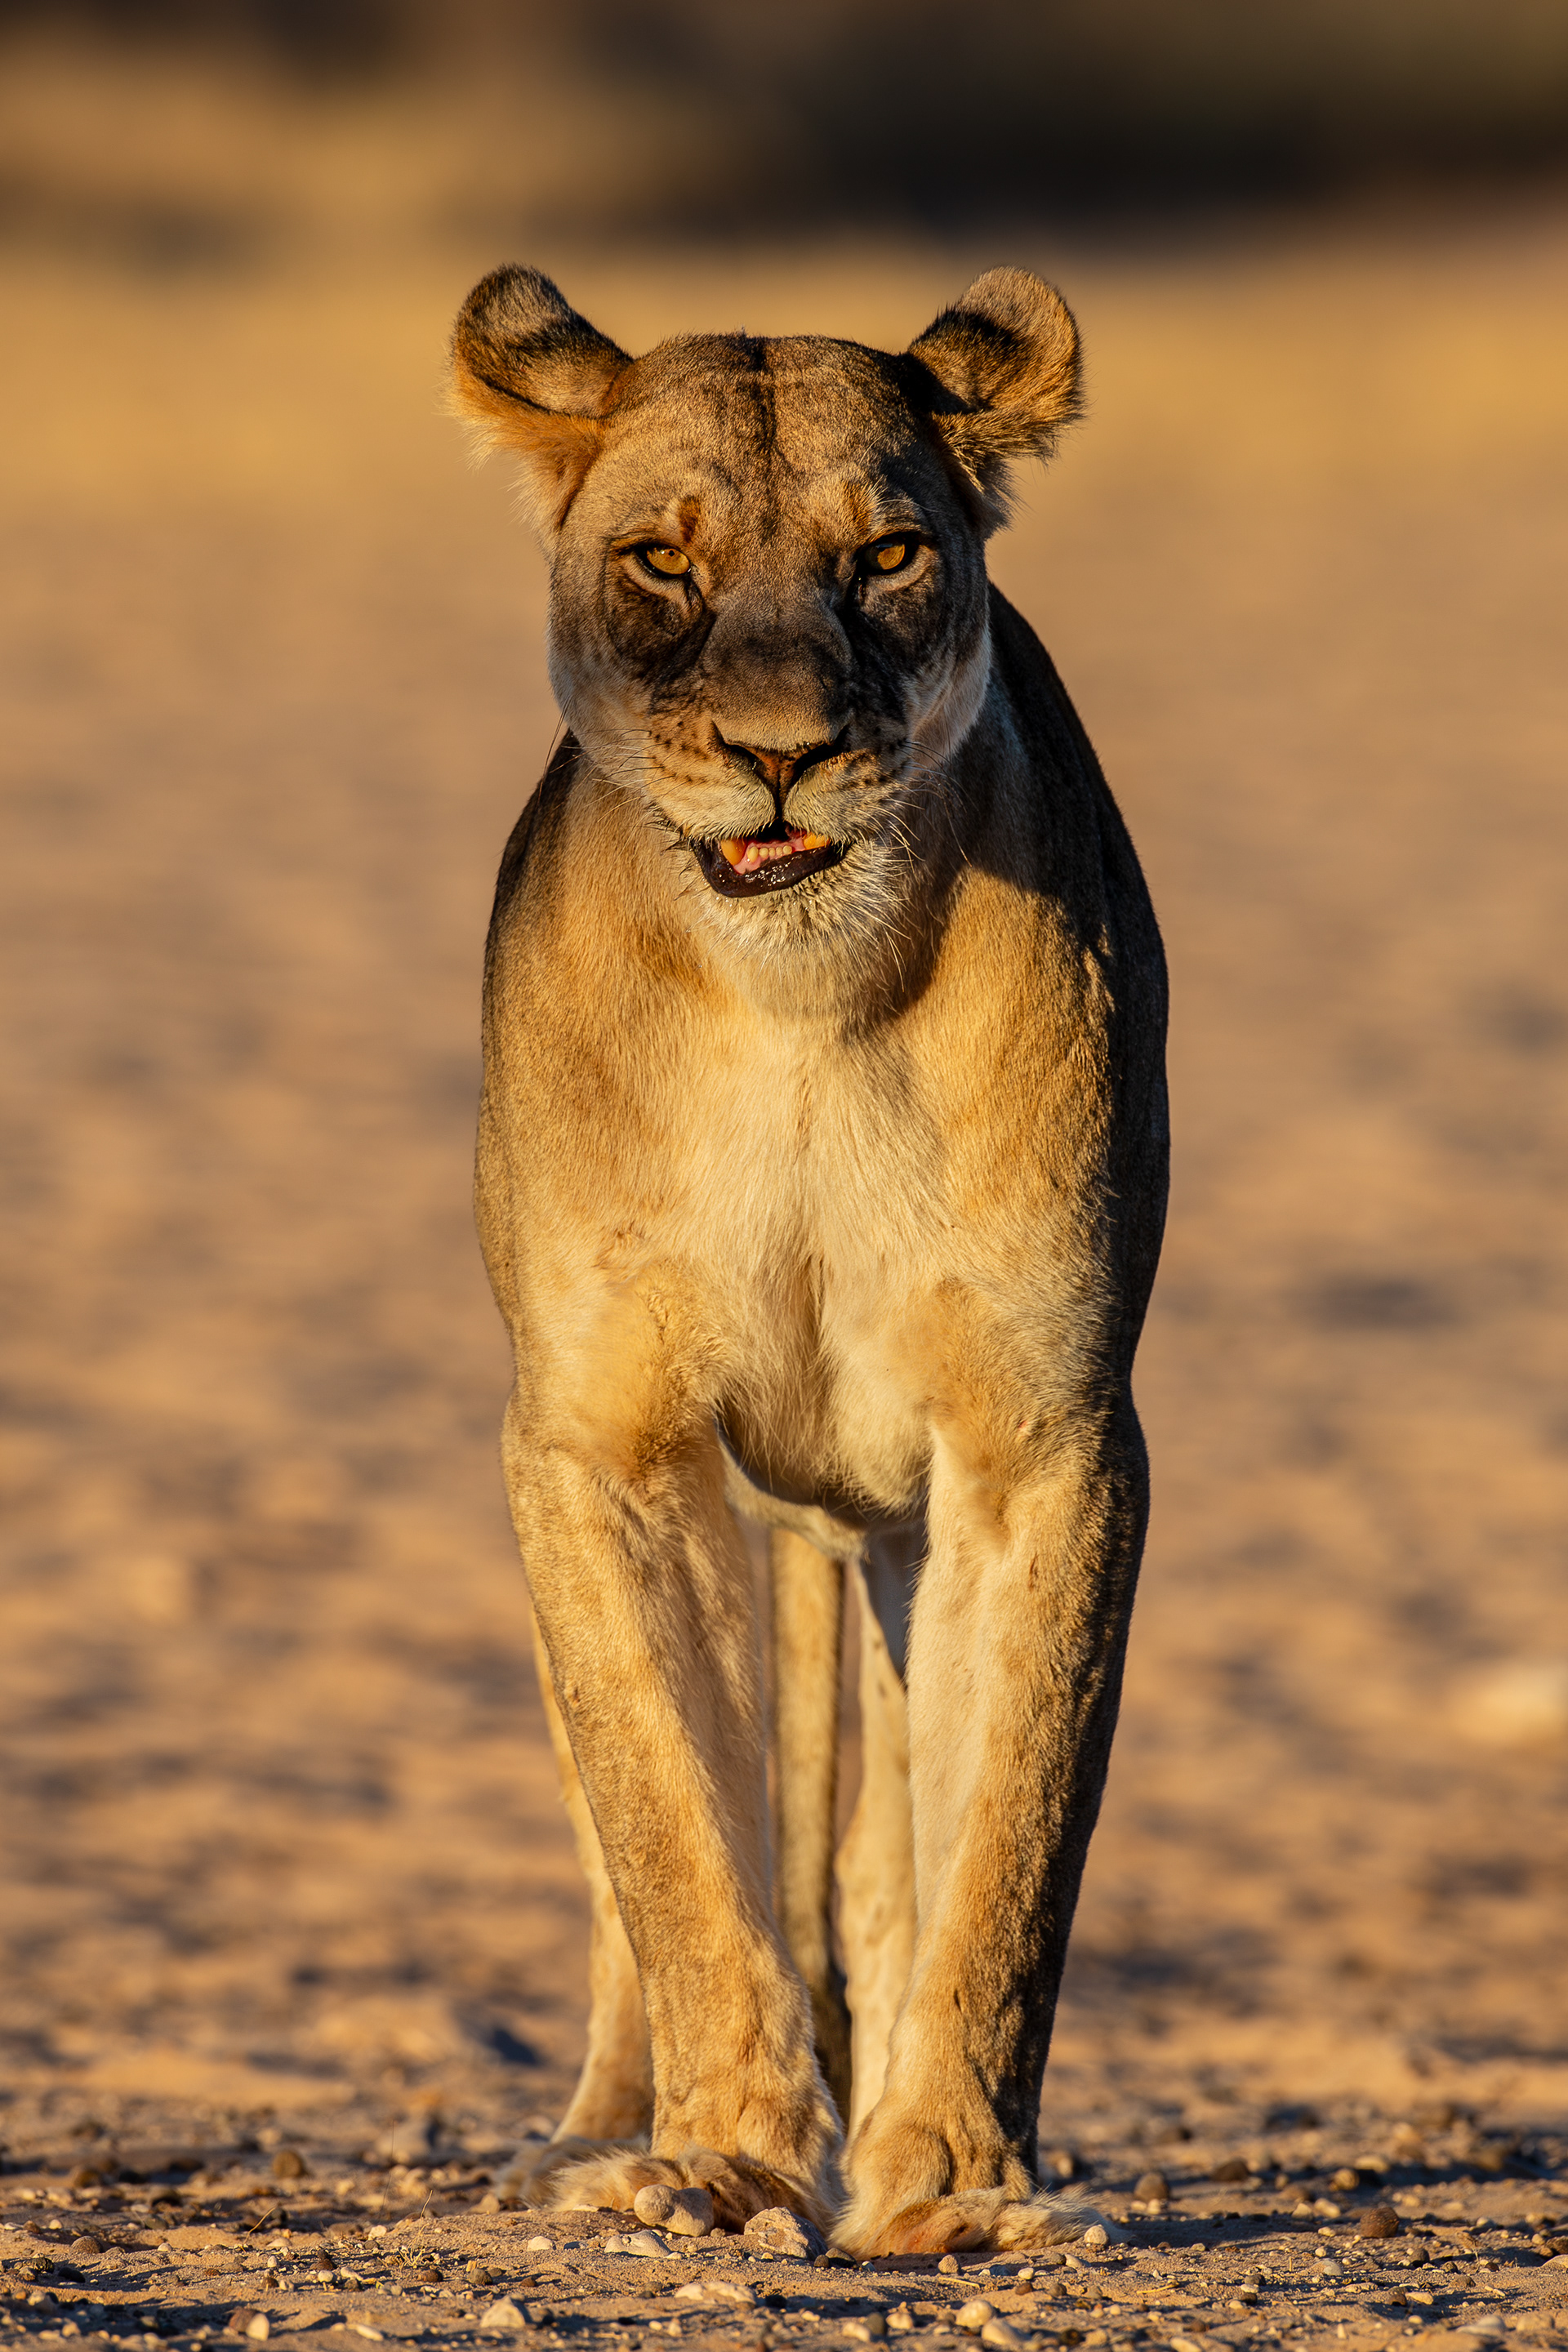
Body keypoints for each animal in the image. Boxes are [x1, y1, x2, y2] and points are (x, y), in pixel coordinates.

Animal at [446, 263, 1168, 2256]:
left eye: (892, 554)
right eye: (662, 564)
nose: (785, 753)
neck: (798, 1011)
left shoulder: (1042, 1443)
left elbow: (1006, 1838)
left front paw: (955, 2182)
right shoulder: (598, 1440)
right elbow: (676, 1832)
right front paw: (717, 2155)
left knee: (882, 1849)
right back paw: (597, 2128)